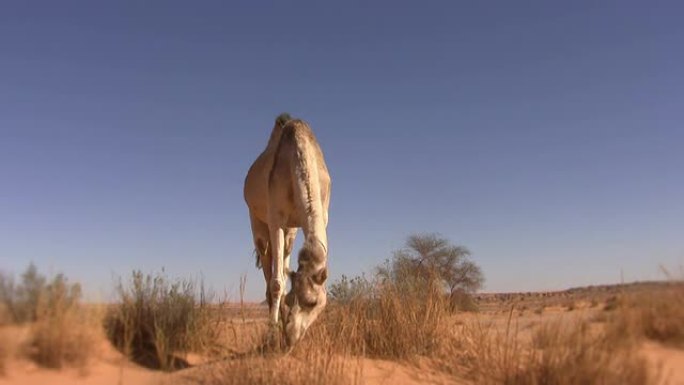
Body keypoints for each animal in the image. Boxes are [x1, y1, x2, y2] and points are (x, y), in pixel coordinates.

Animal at [244, 112, 332, 344]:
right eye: (295, 298)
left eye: (313, 303)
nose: (292, 336)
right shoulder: (276, 219)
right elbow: (277, 284)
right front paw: (272, 335)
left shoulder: (320, 216)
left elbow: (284, 277)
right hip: (256, 219)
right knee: (267, 262)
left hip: (291, 231)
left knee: (284, 257)